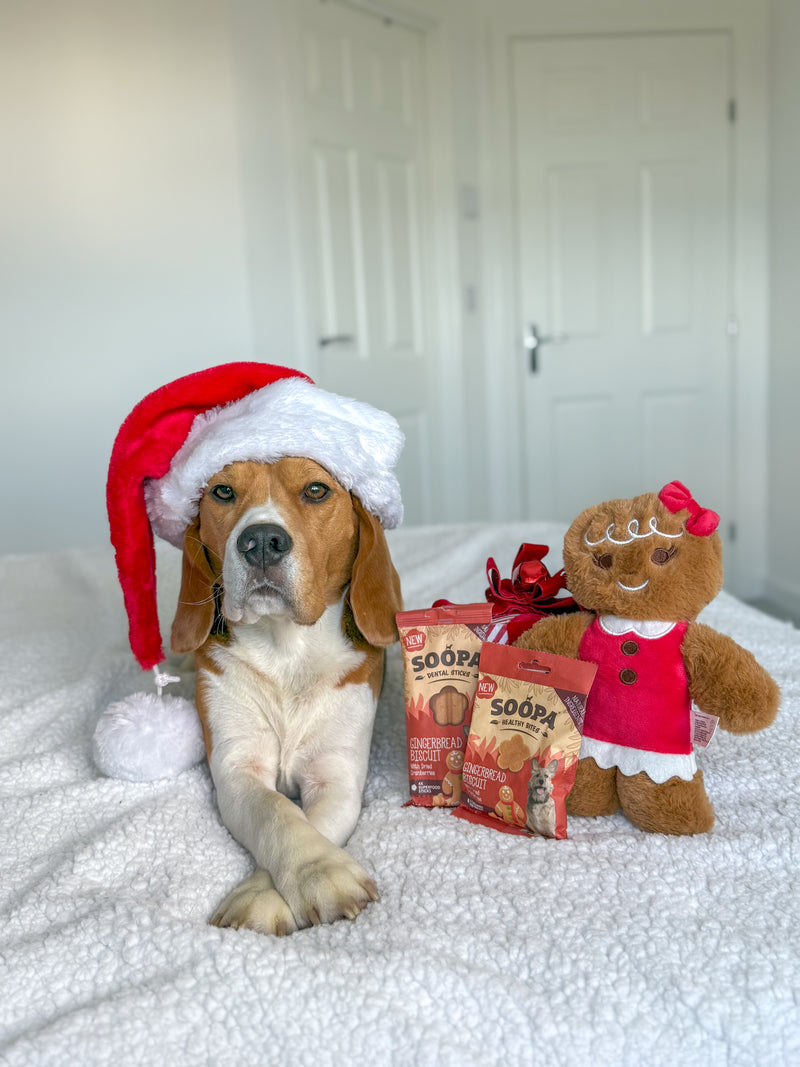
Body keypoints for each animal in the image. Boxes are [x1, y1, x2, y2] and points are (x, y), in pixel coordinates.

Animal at [171, 456, 403, 934]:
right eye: (223, 492)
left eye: (316, 490)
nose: (261, 540)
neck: (286, 653)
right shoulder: (237, 768)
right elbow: (278, 813)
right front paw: (320, 872)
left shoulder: (336, 776)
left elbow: (309, 819)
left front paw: (289, 885)